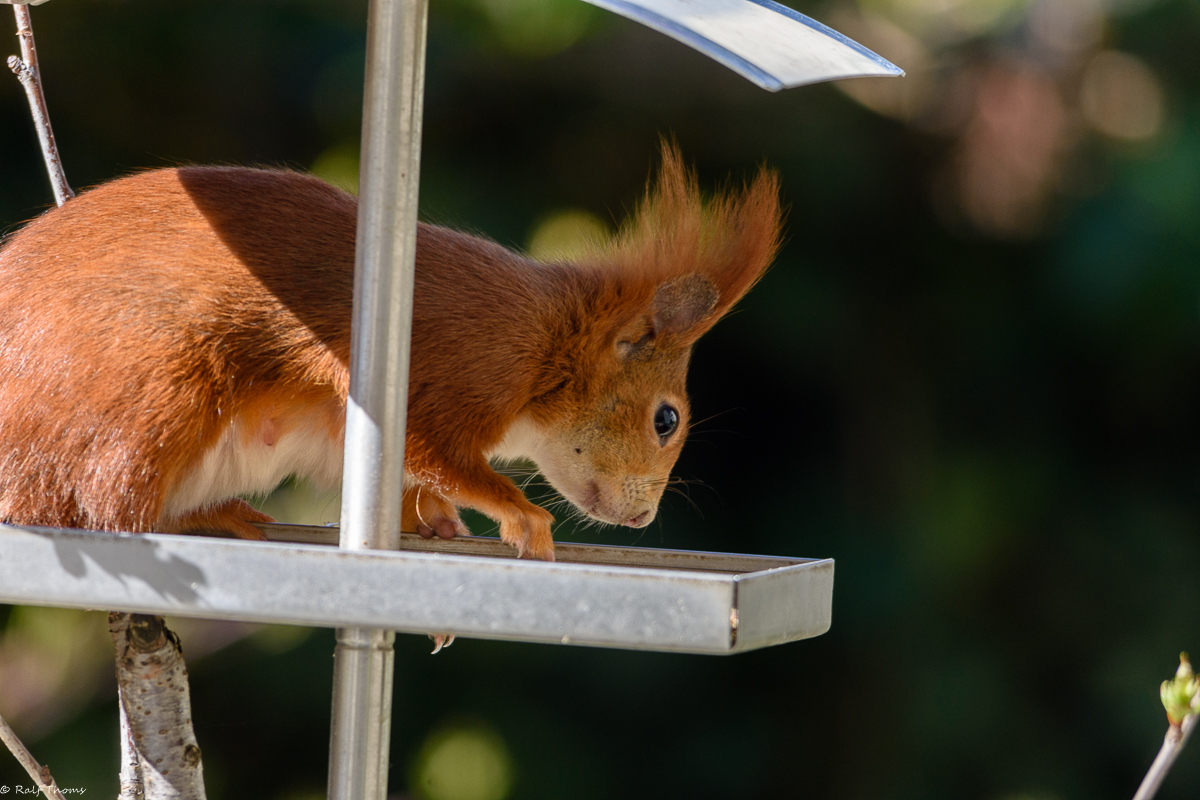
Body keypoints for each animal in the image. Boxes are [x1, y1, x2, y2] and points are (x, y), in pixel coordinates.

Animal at [0, 145, 782, 556]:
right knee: (103, 510)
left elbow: (409, 480)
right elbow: (433, 454)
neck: (545, 345)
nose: (645, 520)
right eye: (666, 419)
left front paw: (432, 520)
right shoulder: (455, 367)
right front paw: (522, 518)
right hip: (154, 397)